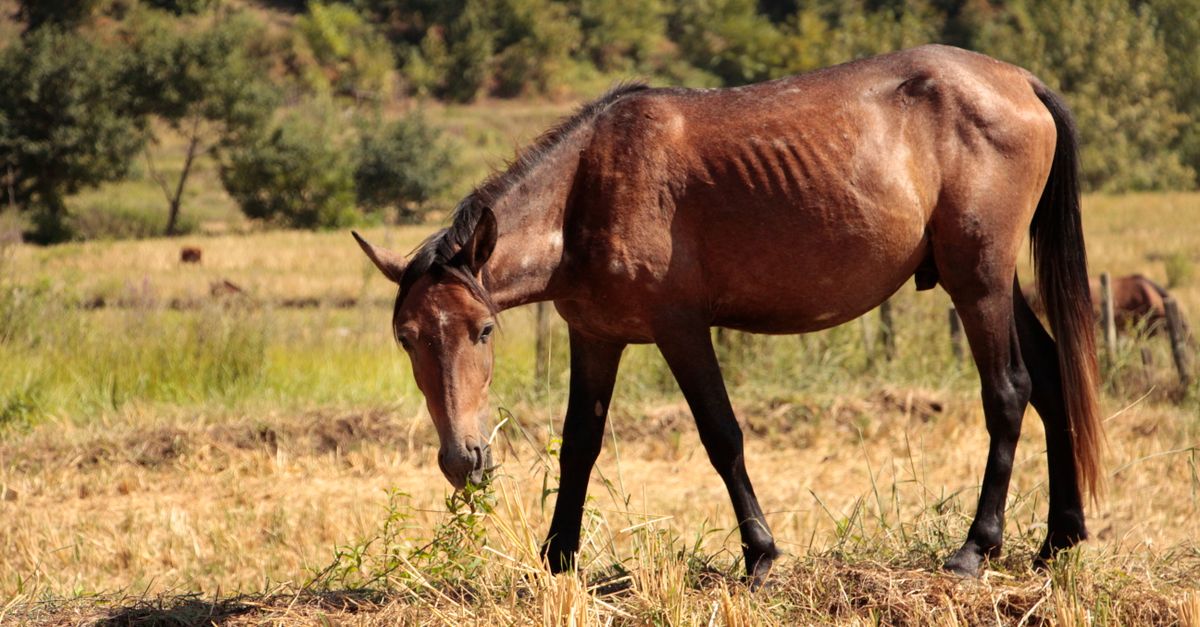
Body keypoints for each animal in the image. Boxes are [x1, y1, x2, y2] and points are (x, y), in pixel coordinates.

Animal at [353, 44, 1102, 586]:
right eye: (406, 339)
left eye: (482, 331)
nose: (464, 458)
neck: (589, 188)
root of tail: (1021, 82)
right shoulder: (594, 336)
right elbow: (579, 445)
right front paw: (558, 558)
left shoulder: (681, 330)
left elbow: (722, 436)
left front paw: (760, 554)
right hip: (990, 283)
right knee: (1051, 378)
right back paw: (1059, 537)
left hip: (977, 282)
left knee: (1008, 392)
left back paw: (976, 547)